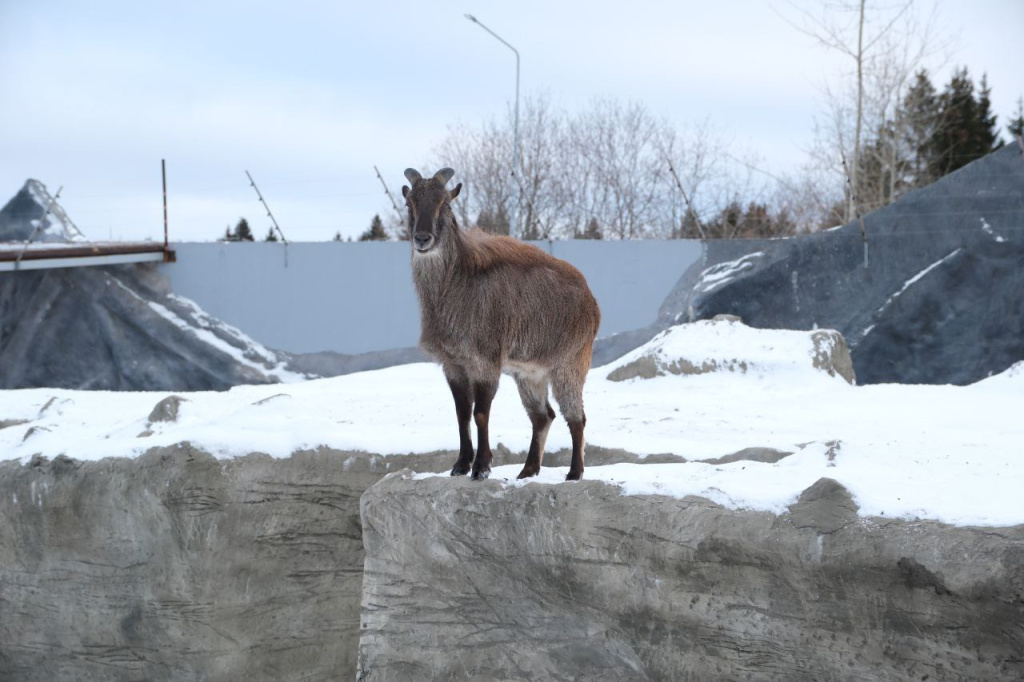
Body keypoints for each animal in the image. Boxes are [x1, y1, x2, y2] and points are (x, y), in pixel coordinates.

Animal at [401, 166, 598, 481]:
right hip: (529, 374)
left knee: (576, 416)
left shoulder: (486, 361)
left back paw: (574, 472)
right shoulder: (453, 364)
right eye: (410, 204)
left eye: (445, 203)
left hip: (570, 364)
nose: (422, 238)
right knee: (543, 415)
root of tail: (591, 301)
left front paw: (481, 467)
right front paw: (460, 465)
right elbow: (462, 414)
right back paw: (528, 470)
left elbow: (480, 413)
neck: (453, 290)